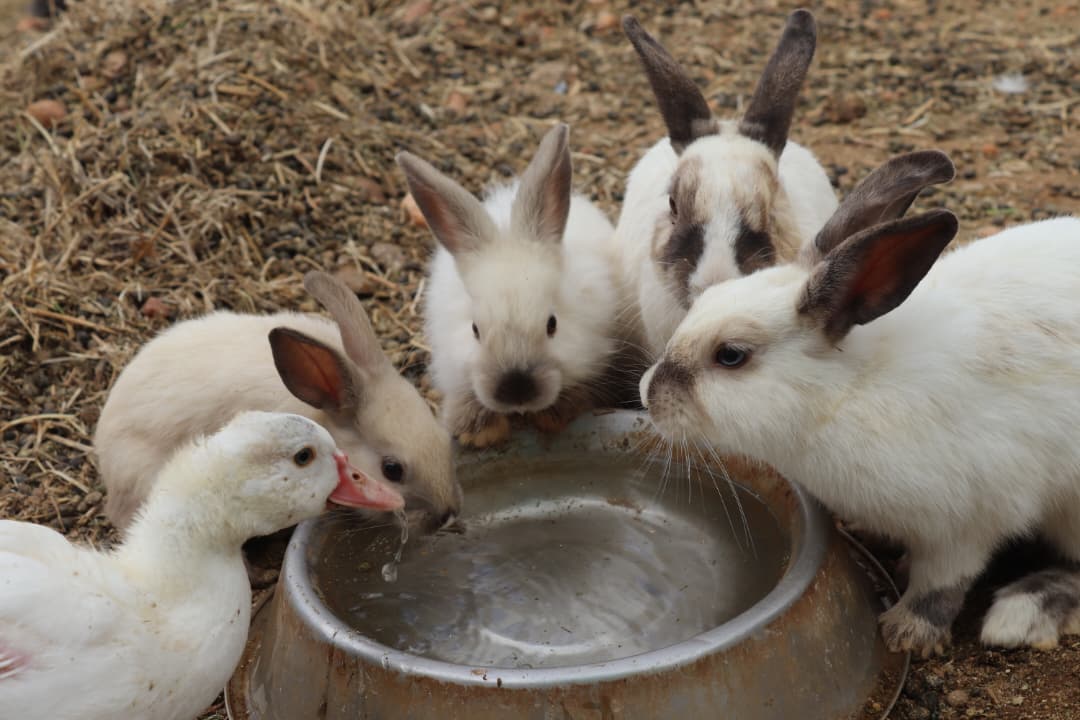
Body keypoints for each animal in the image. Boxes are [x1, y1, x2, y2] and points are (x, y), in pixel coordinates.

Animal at [641, 149, 1080, 657]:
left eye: (731, 355)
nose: (647, 393)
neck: (844, 393)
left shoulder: (966, 523)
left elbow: (941, 584)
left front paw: (906, 632)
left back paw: (1022, 614)